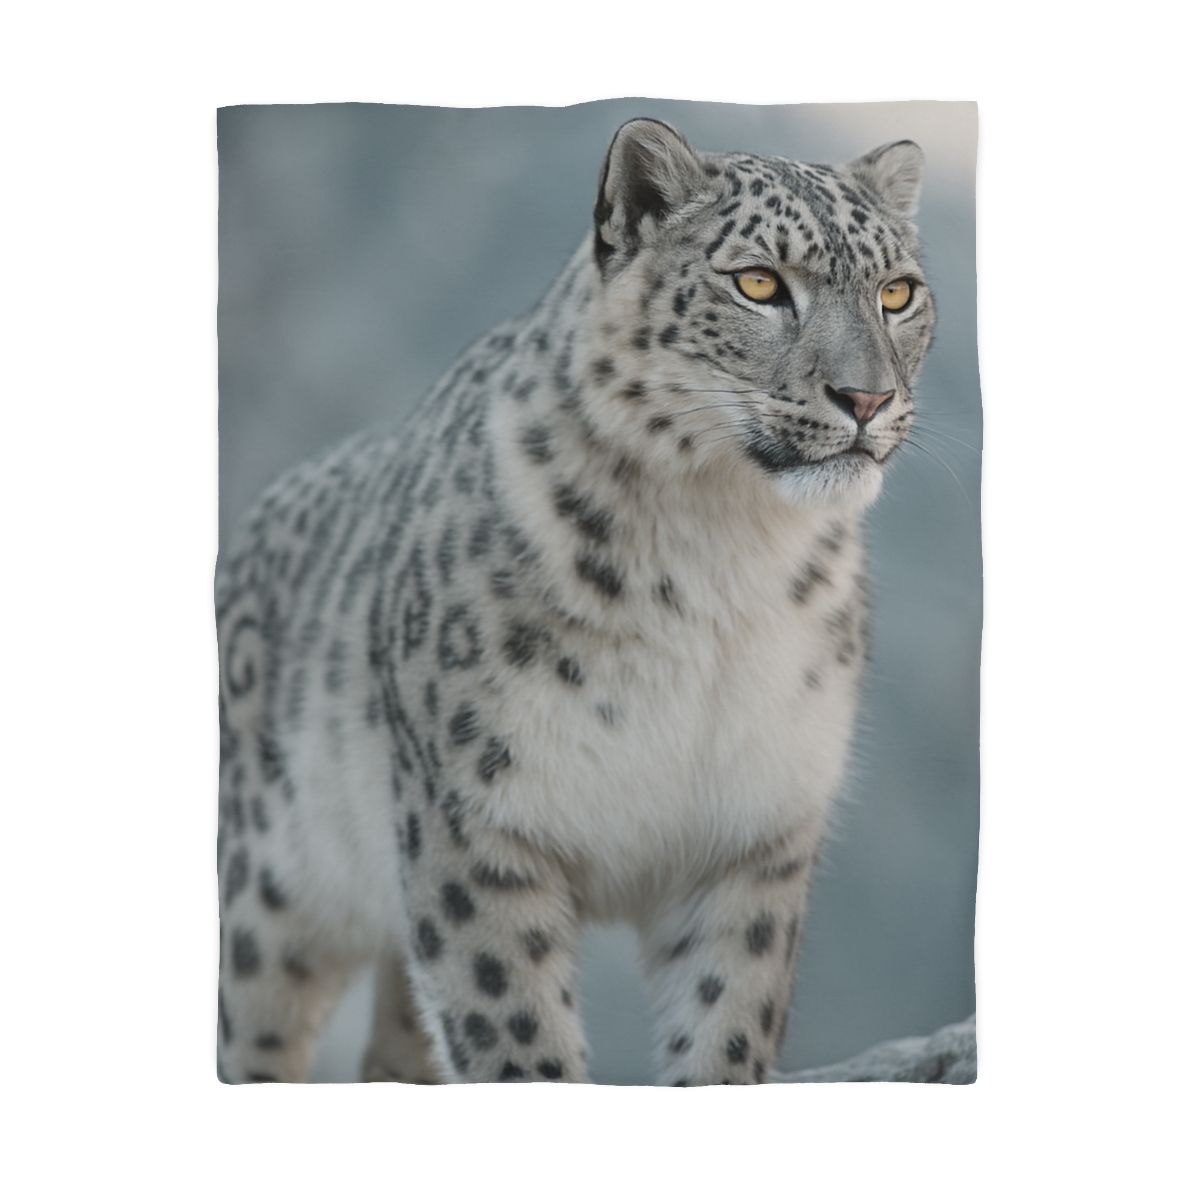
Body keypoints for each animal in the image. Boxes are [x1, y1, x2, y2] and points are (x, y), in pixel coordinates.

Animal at [215, 117, 936, 1085]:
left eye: (898, 291)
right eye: (757, 281)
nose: (868, 396)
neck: (724, 562)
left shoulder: (754, 835)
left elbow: (728, 1022)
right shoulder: (476, 828)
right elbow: (516, 1039)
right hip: (264, 903)